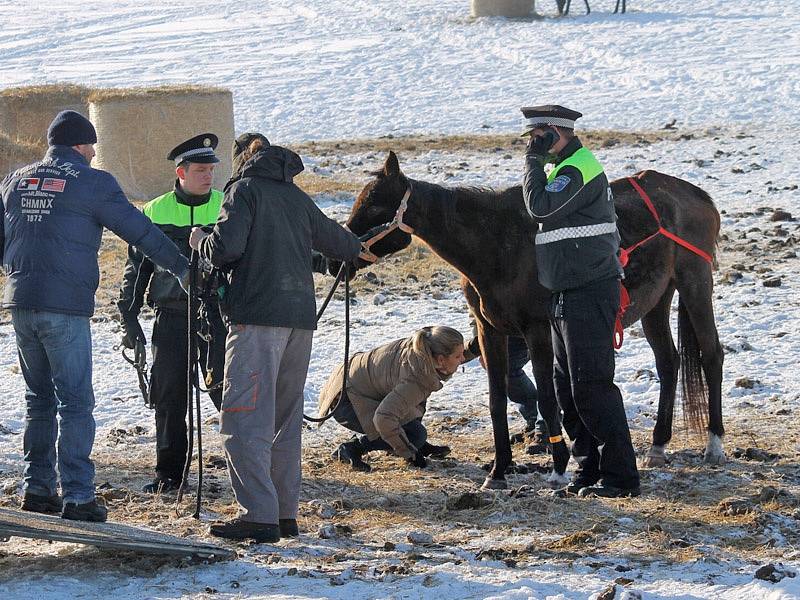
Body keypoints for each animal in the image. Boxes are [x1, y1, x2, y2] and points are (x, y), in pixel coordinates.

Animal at [344, 152, 724, 490]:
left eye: (375, 207)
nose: (339, 259)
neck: (498, 246)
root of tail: (694, 194)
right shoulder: (489, 332)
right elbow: (498, 401)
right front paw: (498, 470)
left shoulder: (538, 330)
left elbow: (547, 397)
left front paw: (558, 469)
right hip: (656, 302)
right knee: (669, 362)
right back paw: (658, 445)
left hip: (694, 284)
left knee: (711, 355)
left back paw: (714, 445)